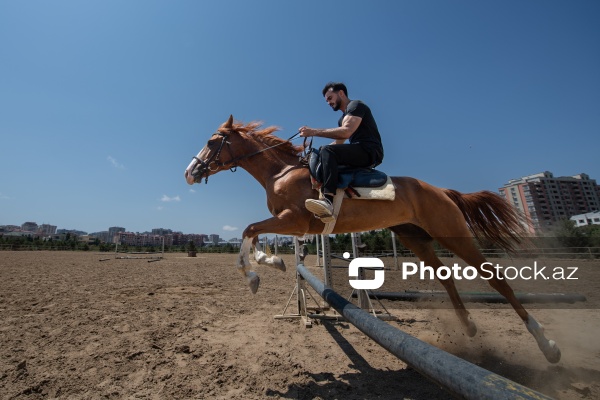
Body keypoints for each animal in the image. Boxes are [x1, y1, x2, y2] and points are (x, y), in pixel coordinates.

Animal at [184, 115, 564, 362]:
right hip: (415, 238)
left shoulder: (295, 219)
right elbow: (255, 234)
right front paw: (272, 261)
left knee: (495, 278)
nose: (190, 172)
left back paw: (547, 345)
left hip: (450, 233)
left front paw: (255, 275)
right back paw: (469, 327)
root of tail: (440, 190)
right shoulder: (291, 225)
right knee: (445, 276)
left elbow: (249, 229)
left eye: (212, 141)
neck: (281, 171)